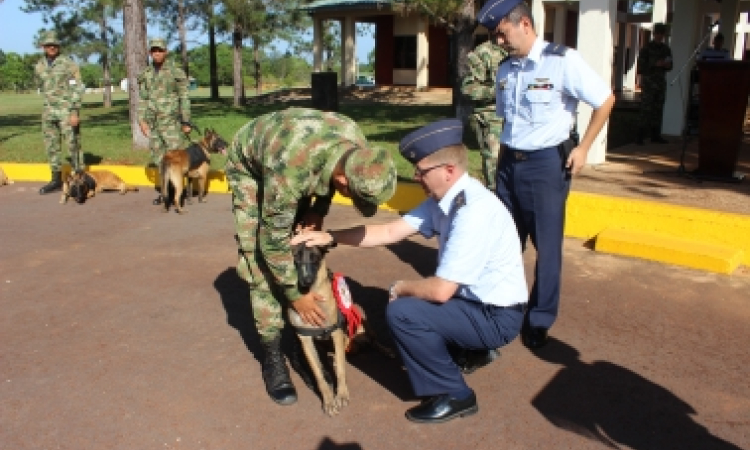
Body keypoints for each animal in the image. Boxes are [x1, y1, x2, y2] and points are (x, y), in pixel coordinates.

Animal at [288, 244, 396, 416]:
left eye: (315, 257)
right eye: (296, 256)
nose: (306, 280)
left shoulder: (336, 333)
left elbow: (340, 371)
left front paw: (342, 395)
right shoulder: (305, 340)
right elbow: (319, 374)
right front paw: (328, 400)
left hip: (362, 321)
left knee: (373, 342)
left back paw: (386, 350)